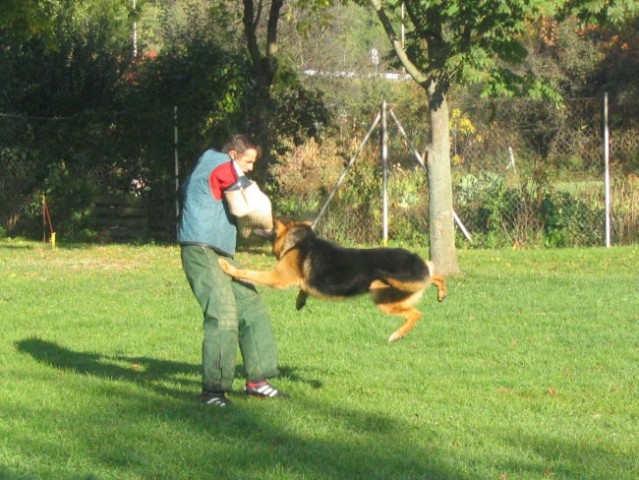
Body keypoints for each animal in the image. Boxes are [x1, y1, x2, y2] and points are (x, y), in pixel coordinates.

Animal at [218, 219, 448, 344]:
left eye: (275, 223)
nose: (269, 219)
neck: (299, 241)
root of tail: (416, 261)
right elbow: (303, 290)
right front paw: (300, 300)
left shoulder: (278, 277)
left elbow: (250, 273)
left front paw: (228, 267)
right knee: (434, 276)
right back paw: (441, 291)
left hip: (383, 297)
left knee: (417, 313)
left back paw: (396, 335)